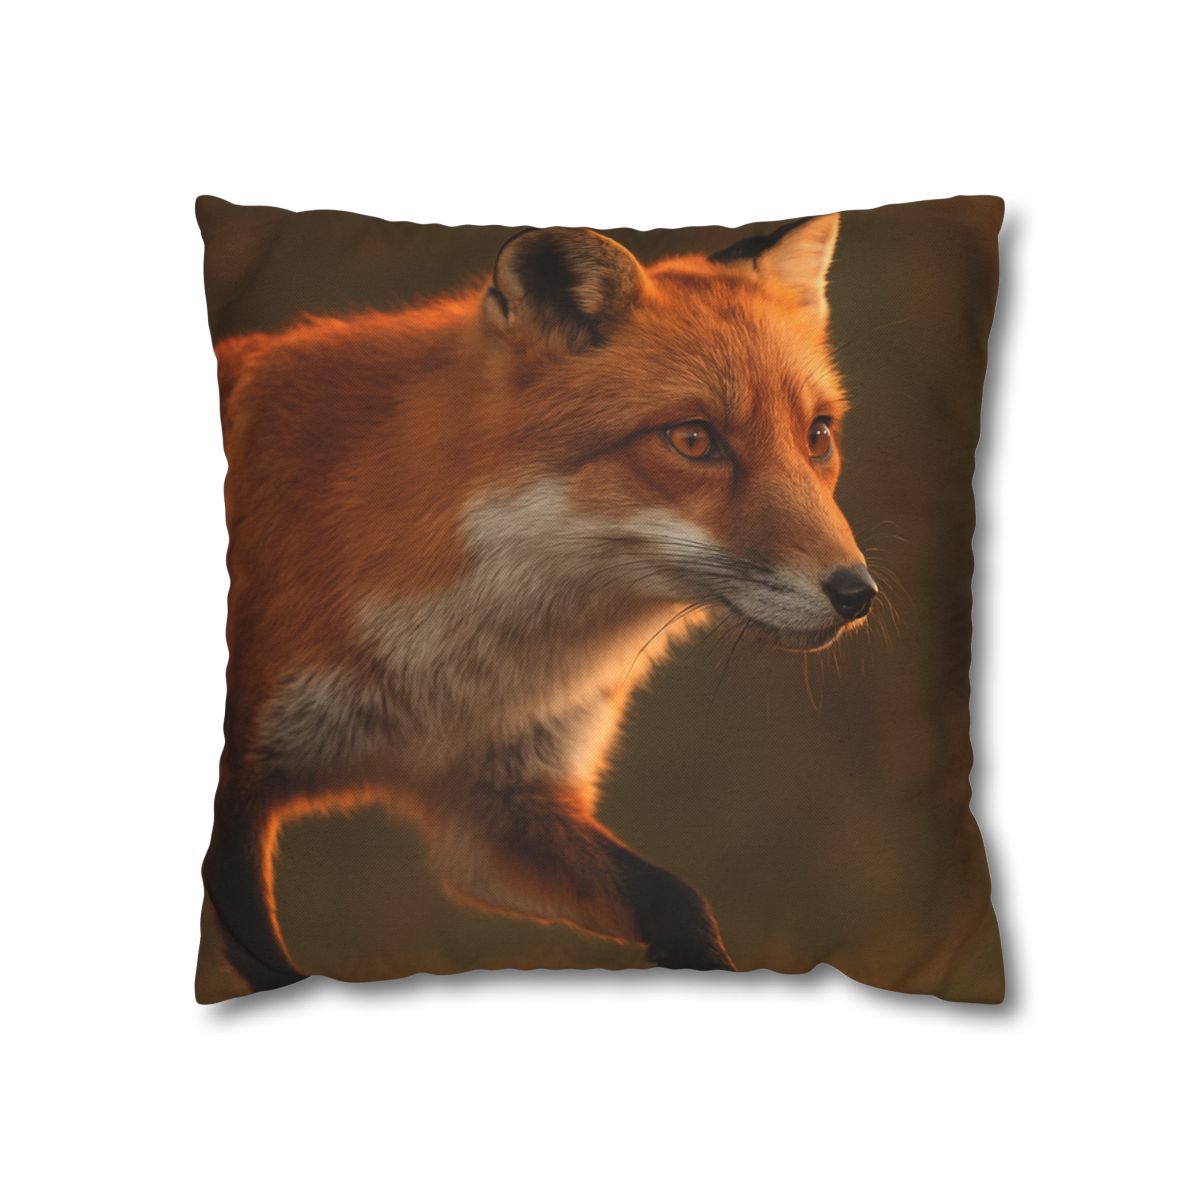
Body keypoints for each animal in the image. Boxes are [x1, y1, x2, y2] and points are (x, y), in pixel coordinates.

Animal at [202, 213, 878, 996]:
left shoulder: (499, 808)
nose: (857, 594)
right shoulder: (239, 796)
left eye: (817, 435)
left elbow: (676, 900)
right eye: (693, 439)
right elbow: (269, 964)